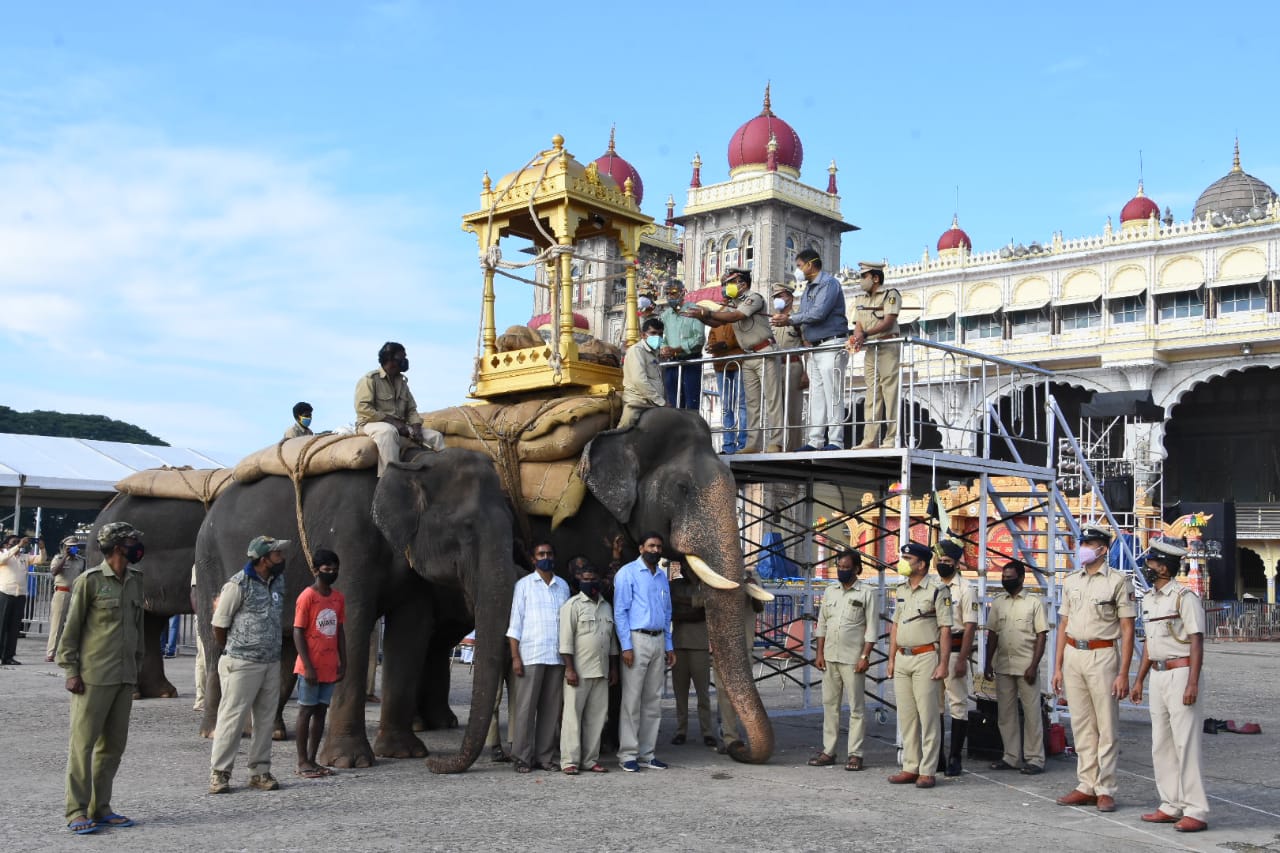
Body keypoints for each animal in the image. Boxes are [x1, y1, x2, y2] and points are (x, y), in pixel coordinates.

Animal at [193, 445, 514, 768]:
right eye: (467, 528)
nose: (435, 764)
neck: (413, 460)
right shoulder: (350, 537)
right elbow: (354, 621)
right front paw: (349, 761)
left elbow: (411, 630)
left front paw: (404, 752)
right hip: (208, 562)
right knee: (216, 642)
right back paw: (214, 730)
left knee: (283, 647)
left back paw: (271, 732)